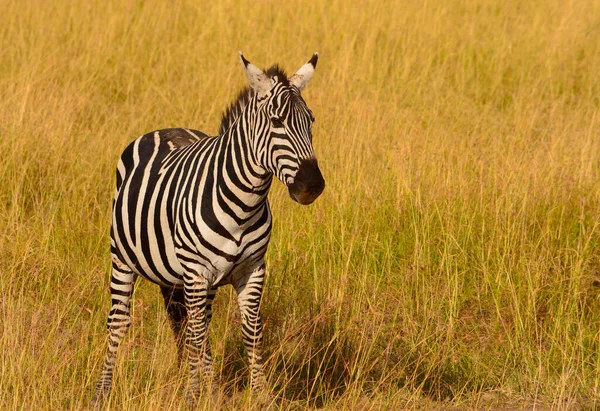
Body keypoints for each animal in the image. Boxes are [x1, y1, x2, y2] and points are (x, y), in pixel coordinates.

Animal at [90, 51, 324, 406]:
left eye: (310, 121)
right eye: (276, 122)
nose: (312, 186)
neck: (244, 205)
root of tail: (165, 128)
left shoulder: (251, 269)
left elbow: (250, 332)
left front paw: (260, 395)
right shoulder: (197, 272)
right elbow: (197, 335)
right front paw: (192, 396)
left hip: (191, 277)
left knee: (192, 322)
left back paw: (210, 388)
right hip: (124, 259)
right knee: (120, 321)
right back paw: (104, 391)